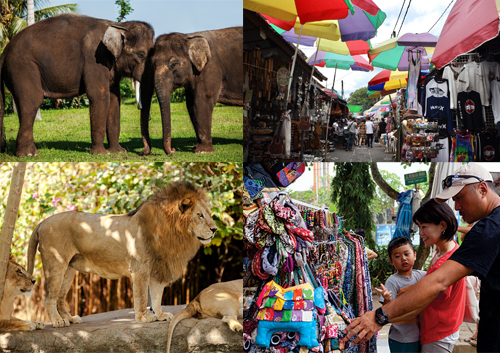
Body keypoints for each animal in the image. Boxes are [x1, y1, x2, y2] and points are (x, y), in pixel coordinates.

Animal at [0, 13, 154, 155]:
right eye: (141, 55)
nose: (142, 152)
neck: (119, 25)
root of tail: (4, 52)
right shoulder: (94, 58)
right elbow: (99, 96)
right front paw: (101, 154)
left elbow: (115, 100)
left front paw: (118, 152)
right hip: (22, 67)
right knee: (32, 102)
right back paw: (29, 154)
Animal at [26, 182, 216, 328]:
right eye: (200, 215)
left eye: (209, 214)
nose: (214, 229)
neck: (173, 232)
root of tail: (42, 222)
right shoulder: (140, 268)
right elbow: (141, 296)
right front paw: (143, 317)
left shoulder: (158, 267)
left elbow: (156, 295)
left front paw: (160, 315)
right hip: (56, 264)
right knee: (49, 297)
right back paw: (58, 321)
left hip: (69, 269)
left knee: (59, 297)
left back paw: (70, 319)